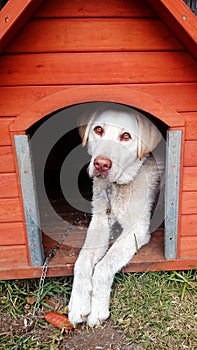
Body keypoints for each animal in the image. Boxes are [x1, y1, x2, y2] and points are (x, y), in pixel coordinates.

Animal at [68, 105, 164, 326]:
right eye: (98, 130)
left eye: (126, 136)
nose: (101, 164)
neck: (116, 187)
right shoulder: (100, 220)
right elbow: (82, 261)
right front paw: (78, 303)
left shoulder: (137, 229)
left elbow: (104, 266)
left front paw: (97, 310)